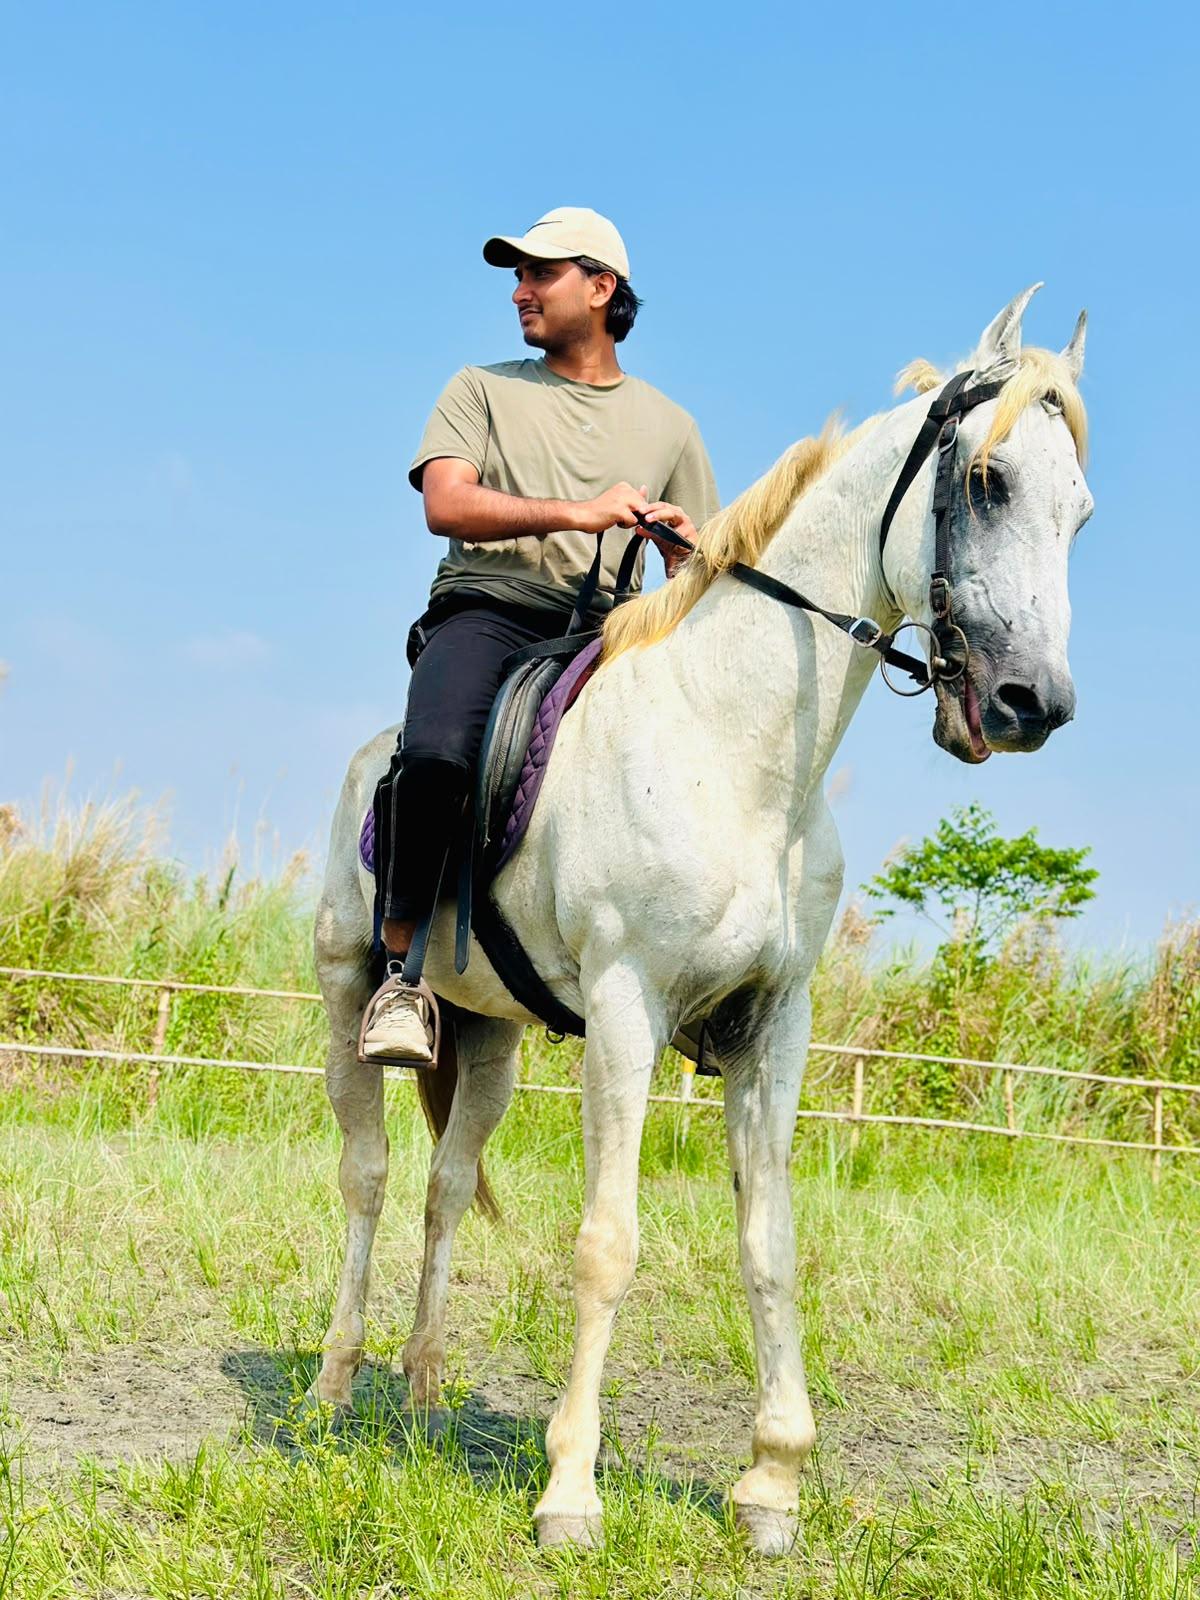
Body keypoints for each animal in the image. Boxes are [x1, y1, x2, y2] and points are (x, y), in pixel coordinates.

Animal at [307, 285, 1091, 1556]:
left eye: (1080, 510)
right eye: (987, 481)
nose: (1035, 705)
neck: (736, 747)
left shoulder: (775, 1025)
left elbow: (769, 1244)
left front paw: (771, 1482)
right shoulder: (628, 1009)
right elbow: (606, 1244)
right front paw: (570, 1493)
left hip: (488, 1040)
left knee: (442, 1186)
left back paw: (420, 1387)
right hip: (343, 995)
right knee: (368, 1176)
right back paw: (334, 1385)